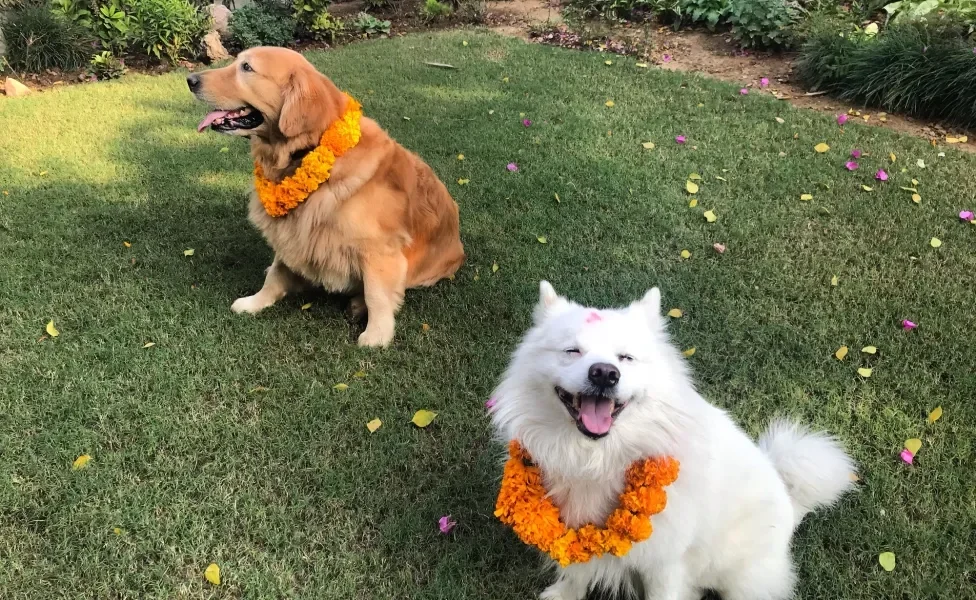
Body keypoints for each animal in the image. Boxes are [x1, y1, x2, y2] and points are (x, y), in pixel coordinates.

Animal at [190, 47, 466, 346]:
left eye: (247, 68)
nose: (190, 80)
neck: (307, 151)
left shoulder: (379, 248)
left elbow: (377, 294)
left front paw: (377, 335)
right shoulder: (293, 230)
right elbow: (276, 273)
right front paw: (256, 302)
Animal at [488, 282, 856, 600]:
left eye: (625, 358)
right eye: (572, 351)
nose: (604, 373)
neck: (598, 458)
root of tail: (792, 506)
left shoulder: (665, 561)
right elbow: (575, 571)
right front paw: (565, 594)